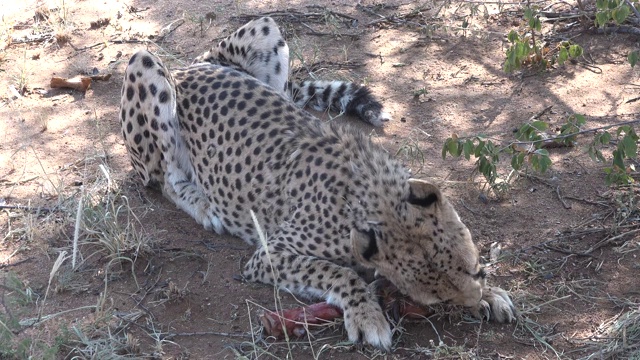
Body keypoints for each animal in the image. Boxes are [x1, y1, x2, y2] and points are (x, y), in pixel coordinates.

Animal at [119, 17, 516, 352]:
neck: (378, 198)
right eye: (440, 301)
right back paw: (202, 205)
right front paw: (367, 314)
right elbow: (338, 272)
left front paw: (491, 295)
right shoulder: (268, 255)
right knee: (163, 178)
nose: (473, 299)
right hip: (145, 65)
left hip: (267, 28)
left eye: (475, 269)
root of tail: (191, 65)